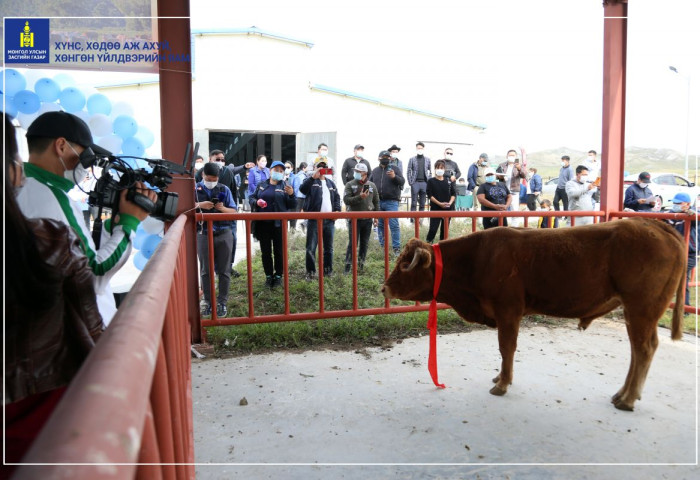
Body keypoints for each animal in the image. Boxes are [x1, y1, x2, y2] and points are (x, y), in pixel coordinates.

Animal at [380, 218, 688, 408]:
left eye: (405, 264)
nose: (385, 287)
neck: (478, 259)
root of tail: (654, 224)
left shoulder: (508, 311)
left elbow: (506, 348)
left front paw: (502, 383)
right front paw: (499, 378)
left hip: (641, 308)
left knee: (644, 348)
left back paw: (628, 399)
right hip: (636, 312)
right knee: (638, 350)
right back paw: (622, 394)